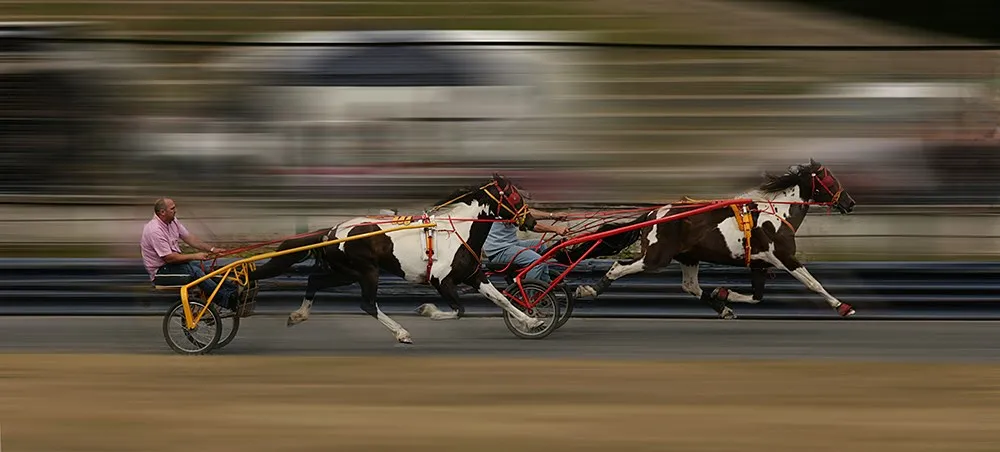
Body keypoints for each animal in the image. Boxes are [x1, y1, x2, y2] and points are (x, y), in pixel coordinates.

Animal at [246, 173, 544, 343]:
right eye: (514, 195)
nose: (530, 220)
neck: (458, 232)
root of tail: (332, 231)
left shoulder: (474, 276)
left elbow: (502, 299)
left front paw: (532, 321)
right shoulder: (441, 281)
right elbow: (458, 311)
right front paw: (427, 310)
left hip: (345, 273)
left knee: (314, 280)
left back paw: (298, 315)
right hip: (367, 272)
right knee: (367, 304)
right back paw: (401, 332)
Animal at [570, 159, 857, 319]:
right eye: (830, 179)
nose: (849, 203)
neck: (776, 213)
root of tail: (653, 213)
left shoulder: (760, 263)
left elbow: (757, 297)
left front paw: (724, 293)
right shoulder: (783, 256)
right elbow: (813, 283)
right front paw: (842, 306)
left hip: (689, 257)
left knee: (690, 286)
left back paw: (723, 308)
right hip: (656, 257)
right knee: (619, 267)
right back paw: (588, 289)